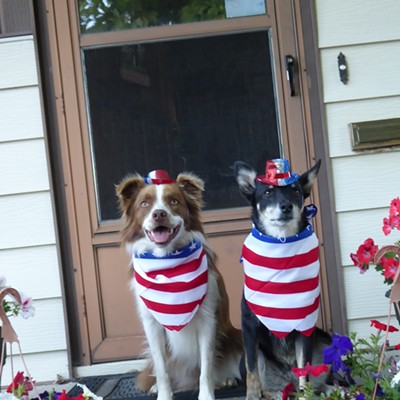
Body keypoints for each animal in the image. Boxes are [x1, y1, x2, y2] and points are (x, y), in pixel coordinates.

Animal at [115, 170, 241, 400]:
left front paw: (206, 395)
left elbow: (206, 366)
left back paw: (225, 379)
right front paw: (164, 394)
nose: (159, 214)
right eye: (145, 203)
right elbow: (162, 368)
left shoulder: (208, 318)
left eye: (173, 201)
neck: (167, 261)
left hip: (235, 335)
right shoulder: (151, 324)